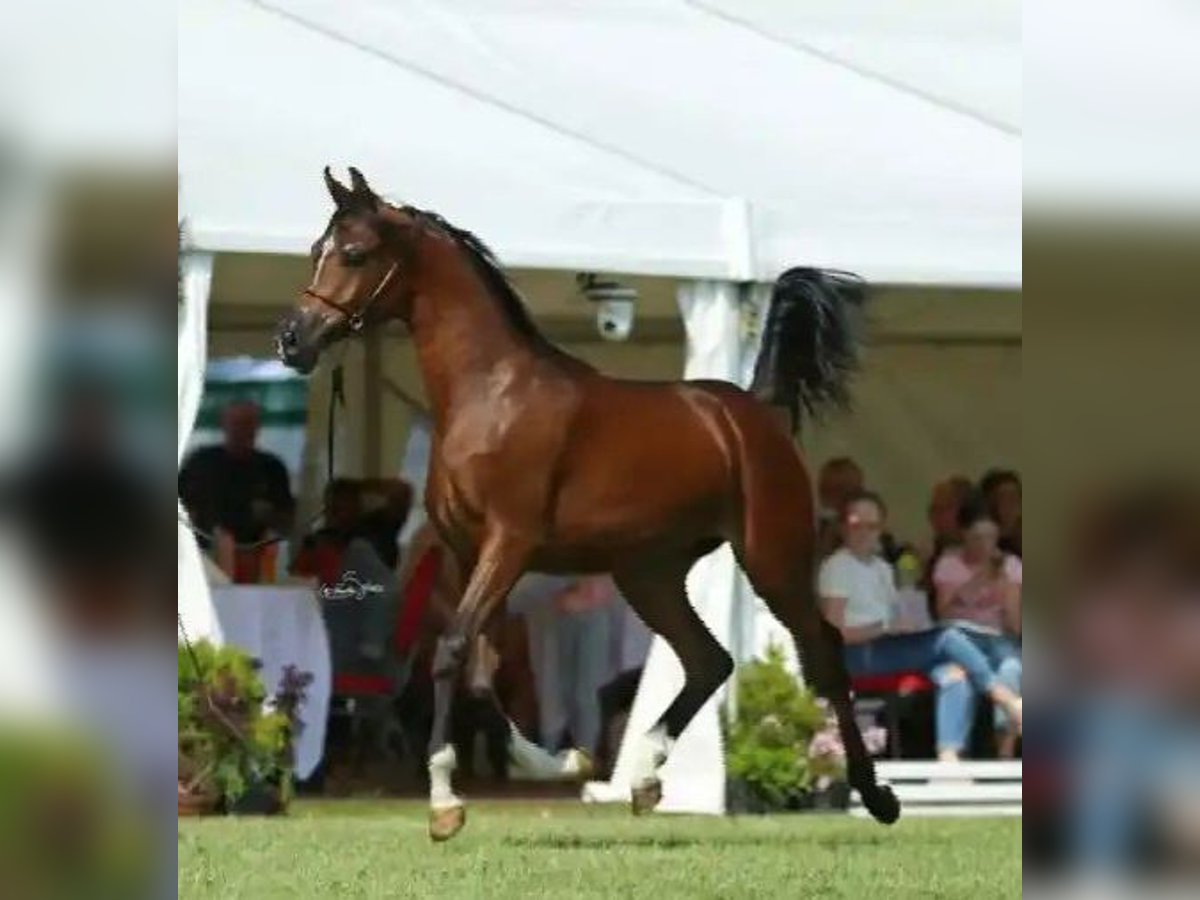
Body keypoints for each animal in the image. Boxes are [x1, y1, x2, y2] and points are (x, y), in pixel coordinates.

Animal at [278, 168, 902, 840]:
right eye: (315, 251)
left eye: (354, 253)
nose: (292, 341)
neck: (491, 395)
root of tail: (753, 412)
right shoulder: (470, 552)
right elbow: (483, 671)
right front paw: (554, 762)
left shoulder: (509, 542)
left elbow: (453, 652)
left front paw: (445, 802)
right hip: (649, 575)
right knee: (709, 660)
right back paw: (645, 777)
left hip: (771, 559)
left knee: (824, 652)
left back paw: (877, 795)